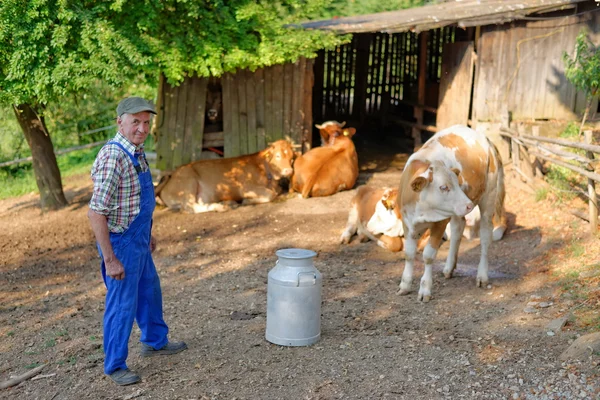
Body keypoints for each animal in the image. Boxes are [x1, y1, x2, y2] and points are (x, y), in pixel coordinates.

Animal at [155, 139, 296, 212]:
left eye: (291, 157)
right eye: (278, 156)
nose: (289, 170)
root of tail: (172, 173)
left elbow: (276, 191)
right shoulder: (245, 187)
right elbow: (271, 194)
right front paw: (246, 201)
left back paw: (228, 203)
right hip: (189, 182)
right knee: (189, 207)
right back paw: (221, 206)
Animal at [398, 124, 506, 300]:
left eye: (457, 182)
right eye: (443, 187)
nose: (469, 205)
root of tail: (485, 138)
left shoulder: (439, 223)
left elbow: (428, 255)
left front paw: (425, 289)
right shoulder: (407, 222)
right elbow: (409, 253)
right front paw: (405, 285)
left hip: (489, 196)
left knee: (485, 235)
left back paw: (482, 275)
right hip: (456, 210)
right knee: (457, 228)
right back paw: (449, 267)